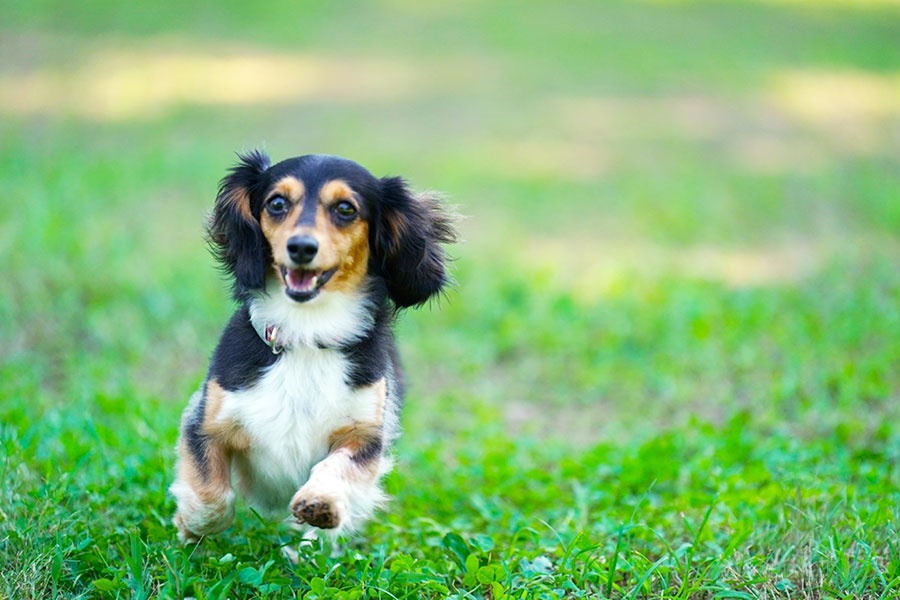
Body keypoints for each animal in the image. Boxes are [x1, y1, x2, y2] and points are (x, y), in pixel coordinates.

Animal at [168, 151, 454, 544]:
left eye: (346, 209)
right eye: (276, 203)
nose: (301, 247)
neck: (306, 334)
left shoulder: (366, 433)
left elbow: (338, 466)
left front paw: (322, 502)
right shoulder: (206, 420)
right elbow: (213, 499)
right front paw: (190, 525)